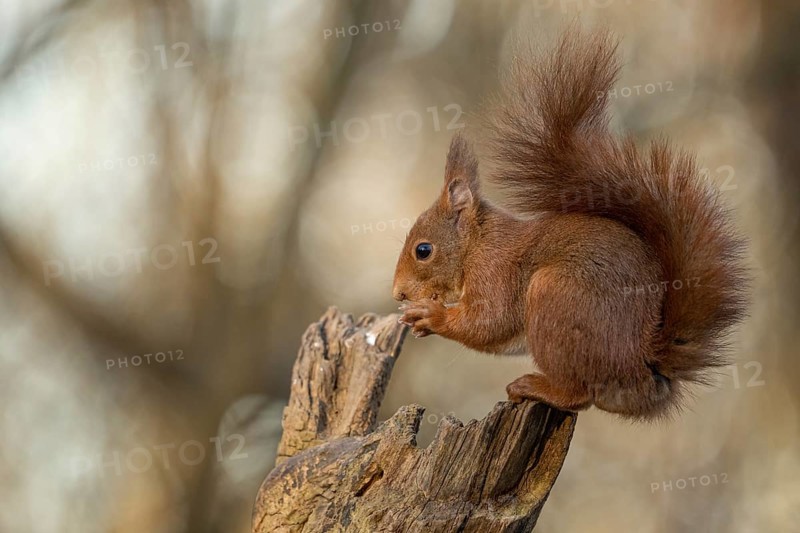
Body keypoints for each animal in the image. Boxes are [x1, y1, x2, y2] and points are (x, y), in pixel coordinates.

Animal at [391, 28, 747, 420]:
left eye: (423, 250)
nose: (398, 294)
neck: (476, 244)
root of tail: (643, 369)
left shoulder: (495, 271)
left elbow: (489, 322)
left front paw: (431, 315)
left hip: (557, 295)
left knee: (578, 393)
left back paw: (535, 387)